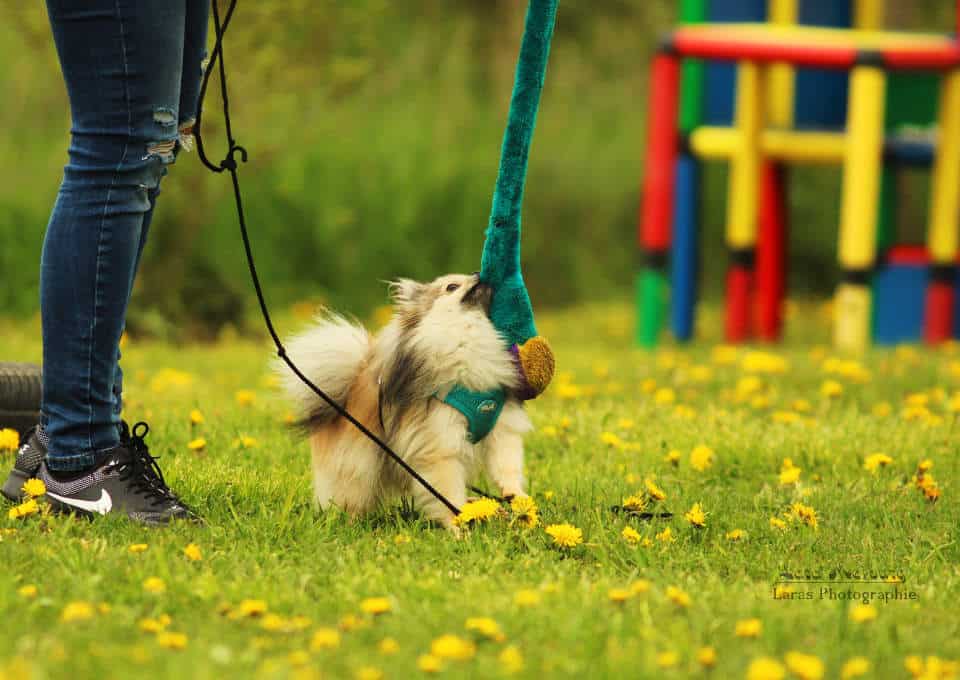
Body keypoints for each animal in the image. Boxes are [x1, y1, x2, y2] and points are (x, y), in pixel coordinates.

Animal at [276, 274, 532, 528]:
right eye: (452, 286)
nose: (479, 275)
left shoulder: (501, 427)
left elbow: (506, 464)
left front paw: (515, 496)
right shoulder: (440, 445)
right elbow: (447, 493)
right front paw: (458, 526)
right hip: (357, 464)